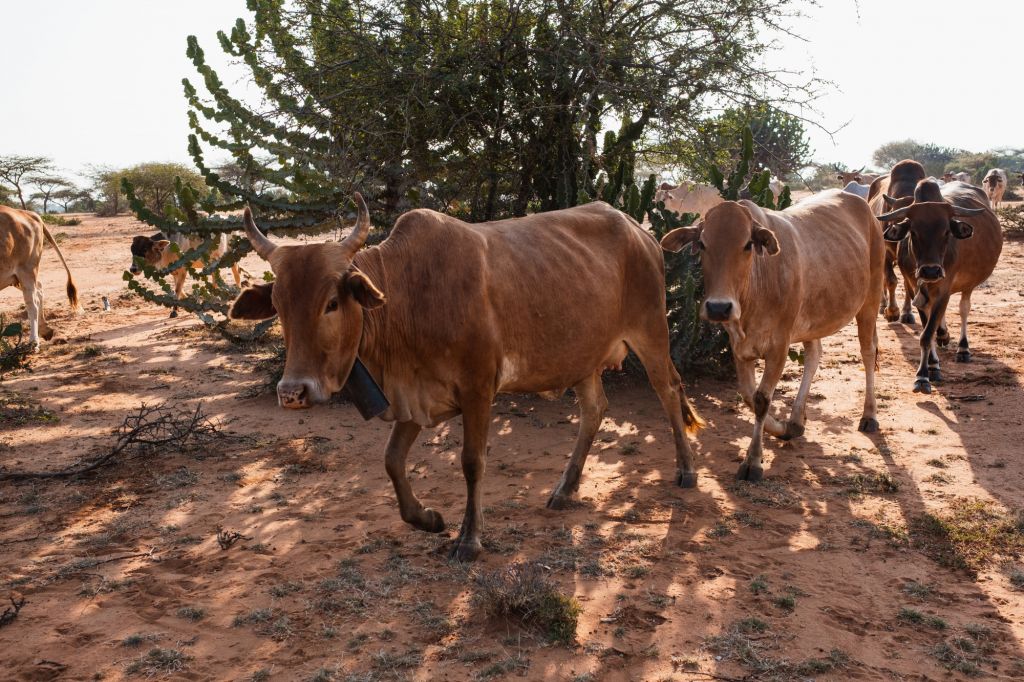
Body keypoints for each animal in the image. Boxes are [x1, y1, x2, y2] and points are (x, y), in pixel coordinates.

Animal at [227, 192, 704, 557]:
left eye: (331, 302)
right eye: (279, 306)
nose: (293, 392)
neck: (408, 296)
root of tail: (640, 231)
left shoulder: (477, 390)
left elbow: (472, 462)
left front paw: (469, 539)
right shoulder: (413, 397)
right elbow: (392, 461)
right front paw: (428, 518)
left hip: (651, 332)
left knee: (668, 391)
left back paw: (686, 472)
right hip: (582, 357)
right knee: (595, 410)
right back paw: (564, 490)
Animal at [659, 188, 884, 481]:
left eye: (747, 244)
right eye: (703, 244)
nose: (719, 307)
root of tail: (864, 207)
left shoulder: (779, 346)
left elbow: (762, 399)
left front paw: (753, 461)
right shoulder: (739, 347)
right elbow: (748, 396)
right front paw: (784, 429)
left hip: (871, 300)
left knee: (868, 352)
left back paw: (869, 415)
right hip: (813, 318)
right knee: (814, 356)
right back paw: (797, 419)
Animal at [868, 157, 925, 323]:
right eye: (899, 218)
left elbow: (907, 284)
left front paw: (907, 312)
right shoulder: (885, 254)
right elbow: (891, 280)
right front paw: (892, 311)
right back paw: (882, 305)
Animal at [876, 179, 1003, 393]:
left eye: (946, 232)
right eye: (913, 231)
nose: (931, 271)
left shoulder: (944, 290)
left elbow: (928, 333)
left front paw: (922, 376)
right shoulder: (914, 289)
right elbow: (928, 328)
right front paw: (932, 366)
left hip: (967, 285)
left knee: (964, 309)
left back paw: (963, 348)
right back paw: (944, 336)